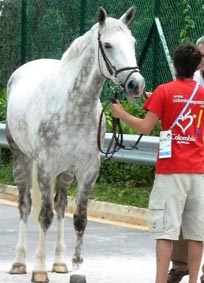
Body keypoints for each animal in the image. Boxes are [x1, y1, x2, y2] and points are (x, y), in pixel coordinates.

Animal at [5, 5, 144, 283]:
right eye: (108, 45)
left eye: (133, 42)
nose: (136, 84)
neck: (74, 105)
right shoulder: (46, 167)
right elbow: (44, 216)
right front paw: (39, 270)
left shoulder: (88, 171)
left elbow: (79, 218)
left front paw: (77, 268)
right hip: (22, 159)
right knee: (26, 205)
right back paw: (19, 262)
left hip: (66, 172)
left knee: (60, 207)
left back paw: (59, 262)